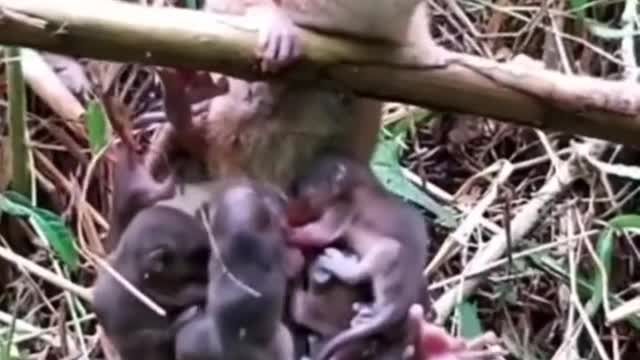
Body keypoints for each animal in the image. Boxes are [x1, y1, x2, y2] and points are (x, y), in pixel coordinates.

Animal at [284, 155, 430, 360]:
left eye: (308, 186)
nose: (294, 186)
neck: (359, 180)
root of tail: (401, 301)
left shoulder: (342, 210)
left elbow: (320, 233)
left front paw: (285, 228)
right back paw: (367, 310)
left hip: (388, 250)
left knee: (357, 274)